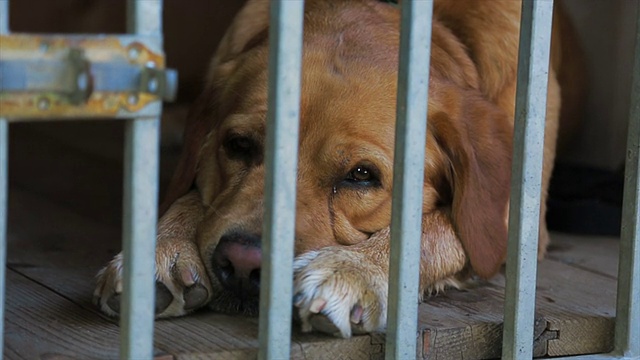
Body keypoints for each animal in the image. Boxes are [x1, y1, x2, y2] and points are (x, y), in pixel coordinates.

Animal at [94, 0, 584, 338]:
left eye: (362, 176)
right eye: (239, 145)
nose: (244, 265)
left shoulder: (516, 221)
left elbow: (428, 229)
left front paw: (352, 269)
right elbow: (193, 195)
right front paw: (162, 245)